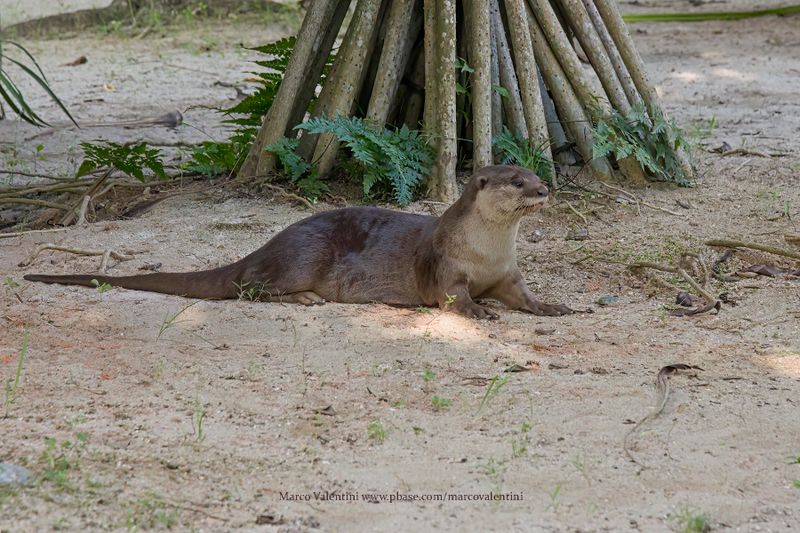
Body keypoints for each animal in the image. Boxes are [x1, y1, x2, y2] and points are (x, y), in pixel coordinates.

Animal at [23, 164, 576, 318]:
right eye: (516, 181)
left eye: (534, 173)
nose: (544, 188)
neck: (485, 251)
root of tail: (268, 243)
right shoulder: (445, 268)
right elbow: (454, 297)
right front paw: (479, 311)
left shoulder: (507, 273)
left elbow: (524, 296)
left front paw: (553, 306)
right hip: (304, 256)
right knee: (250, 287)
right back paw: (306, 298)